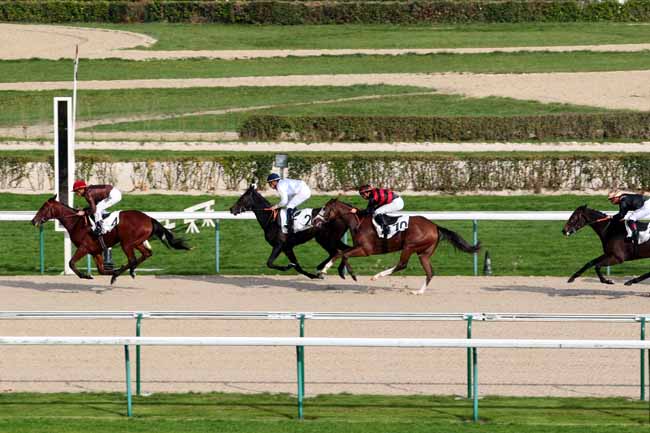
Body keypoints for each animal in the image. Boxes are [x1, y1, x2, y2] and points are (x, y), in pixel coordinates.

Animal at [31, 196, 190, 284]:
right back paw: (130, 271)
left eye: (43, 207)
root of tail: (149, 218)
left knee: (133, 259)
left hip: (127, 243)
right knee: (146, 254)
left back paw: (122, 273)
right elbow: (101, 270)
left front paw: (86, 275)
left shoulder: (84, 247)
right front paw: (110, 271)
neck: (77, 223)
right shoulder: (95, 250)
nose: (33, 221)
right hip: (137, 242)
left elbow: (71, 263)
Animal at [313, 199, 480, 294]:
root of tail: (435, 226)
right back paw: (418, 292)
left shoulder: (366, 250)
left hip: (409, 246)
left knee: (402, 264)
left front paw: (350, 275)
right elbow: (339, 253)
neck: (358, 222)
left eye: (324, 208)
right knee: (430, 272)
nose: (315, 220)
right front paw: (324, 270)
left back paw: (377, 276)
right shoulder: (358, 247)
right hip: (424, 253)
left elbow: (344, 254)